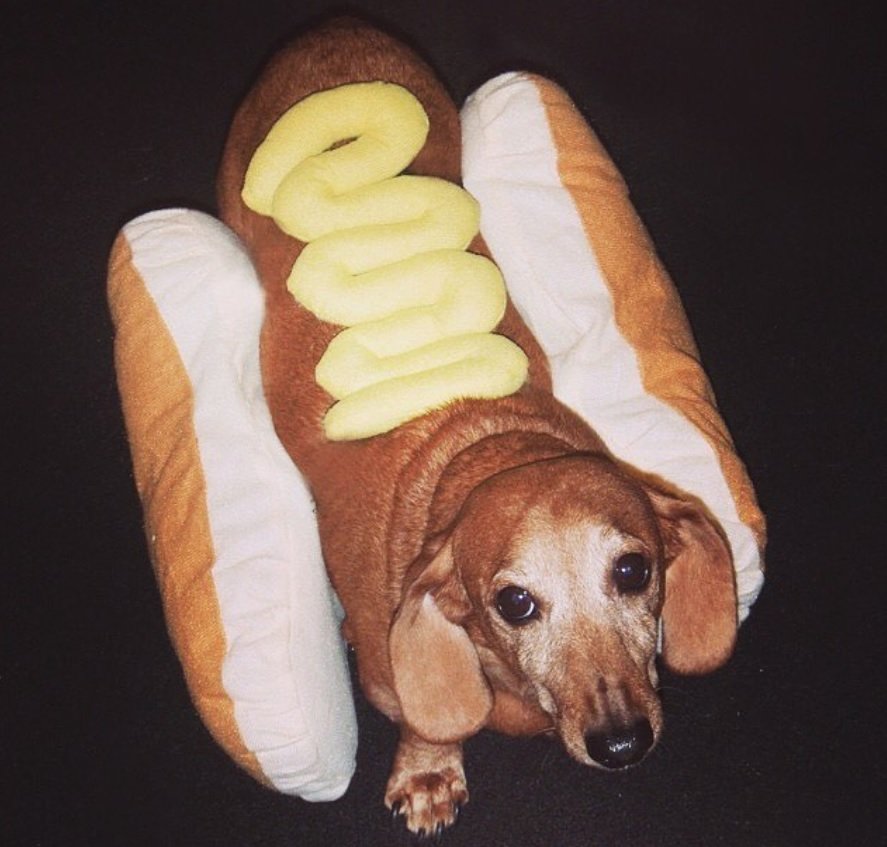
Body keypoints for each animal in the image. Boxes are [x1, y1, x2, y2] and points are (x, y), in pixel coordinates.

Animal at [217, 18, 736, 836]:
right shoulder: (396, 682)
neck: (485, 448)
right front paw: (429, 769)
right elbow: (424, 722)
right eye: (514, 603)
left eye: (633, 570)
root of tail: (334, 28)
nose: (622, 742)